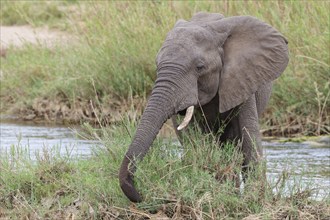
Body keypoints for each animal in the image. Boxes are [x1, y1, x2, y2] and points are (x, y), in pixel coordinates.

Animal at [118, 12, 288, 203]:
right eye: (157, 65)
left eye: (200, 67)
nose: (140, 194)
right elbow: (196, 141)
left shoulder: (245, 79)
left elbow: (249, 140)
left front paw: (255, 199)